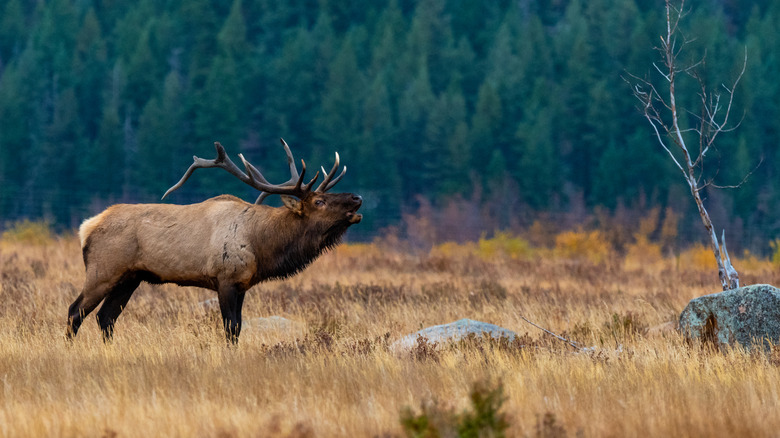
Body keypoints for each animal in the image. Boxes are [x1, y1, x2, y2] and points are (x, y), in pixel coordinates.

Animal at [67, 139, 362, 343]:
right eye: (319, 201)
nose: (357, 197)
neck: (261, 245)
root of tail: (86, 227)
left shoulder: (243, 284)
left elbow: (239, 328)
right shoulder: (225, 279)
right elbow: (230, 328)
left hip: (130, 278)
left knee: (106, 317)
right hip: (103, 271)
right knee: (75, 311)